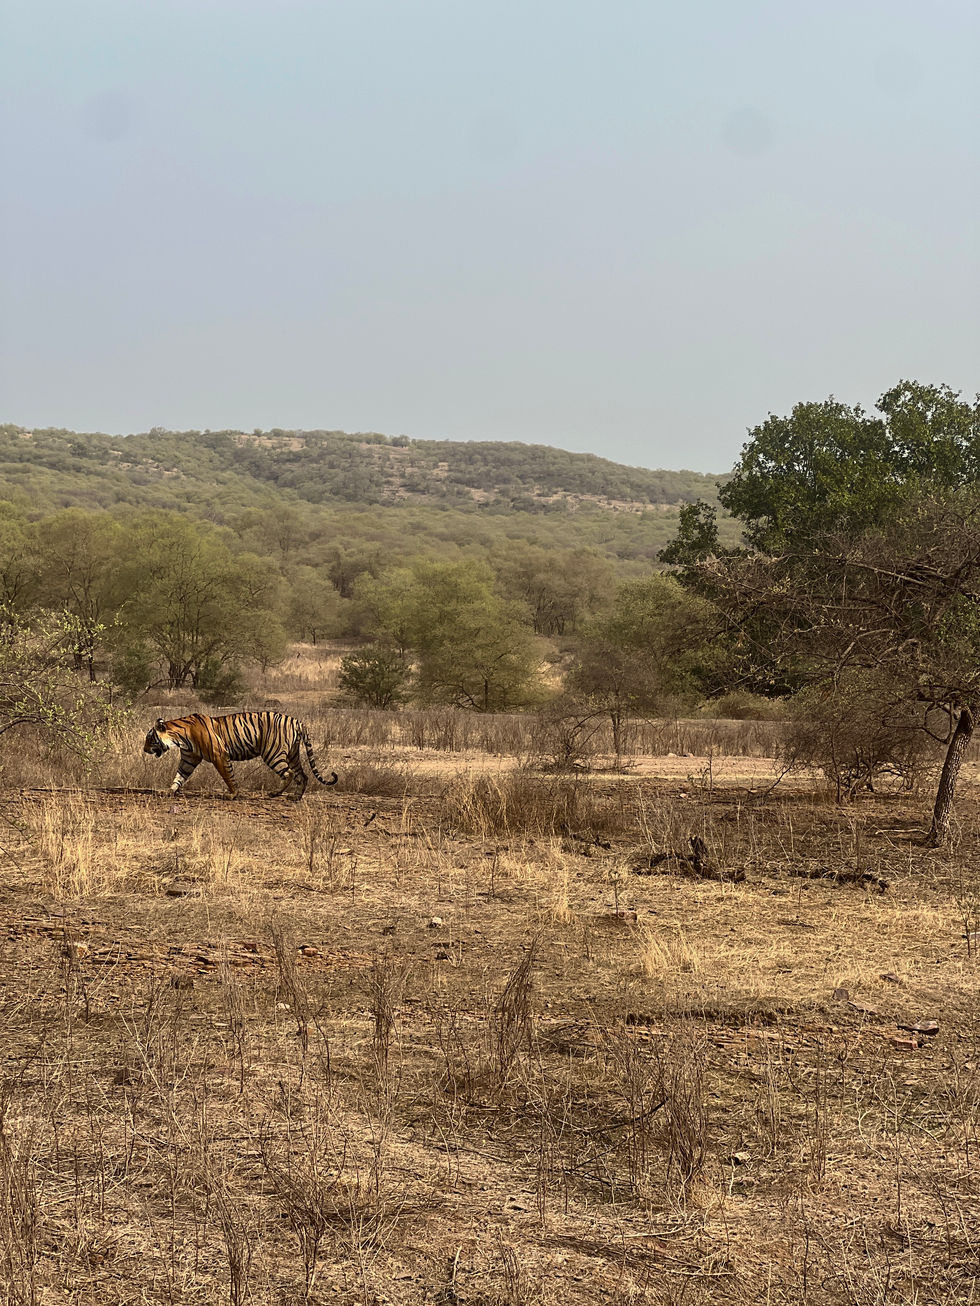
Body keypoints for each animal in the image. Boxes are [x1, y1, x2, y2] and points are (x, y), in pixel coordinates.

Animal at [143, 711, 338, 801]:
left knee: (288, 773)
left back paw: (275, 793)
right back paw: (295, 797)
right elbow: (179, 776)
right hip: (293, 754)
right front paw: (169, 791)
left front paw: (233, 794)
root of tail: (297, 721)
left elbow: (228, 776)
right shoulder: (188, 759)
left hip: (273, 753)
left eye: (150, 739)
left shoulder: (219, 755)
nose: (144, 750)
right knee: (302, 776)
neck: (180, 738)